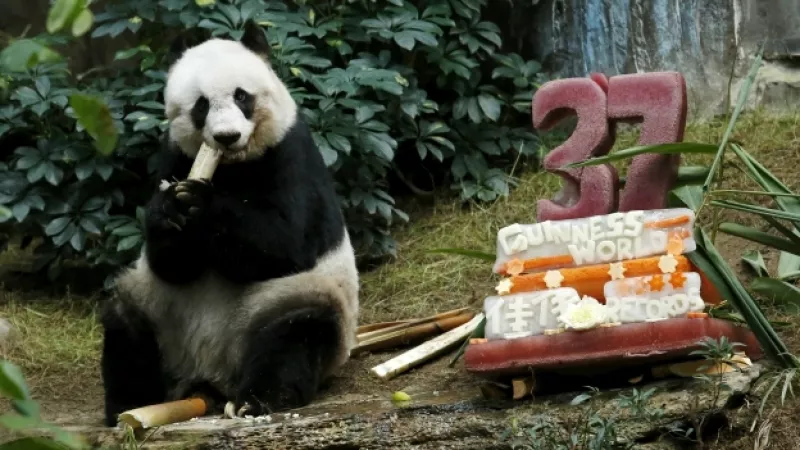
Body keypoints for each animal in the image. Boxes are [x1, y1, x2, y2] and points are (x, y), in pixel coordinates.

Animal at [99, 22, 359, 427]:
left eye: (242, 96)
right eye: (201, 105)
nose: (226, 136)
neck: (231, 165)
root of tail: (210, 374)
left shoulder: (291, 153)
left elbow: (286, 244)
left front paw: (200, 203)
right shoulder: (175, 154)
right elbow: (170, 264)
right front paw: (170, 209)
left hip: (286, 299)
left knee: (296, 332)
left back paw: (258, 400)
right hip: (159, 310)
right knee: (126, 323)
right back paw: (130, 404)